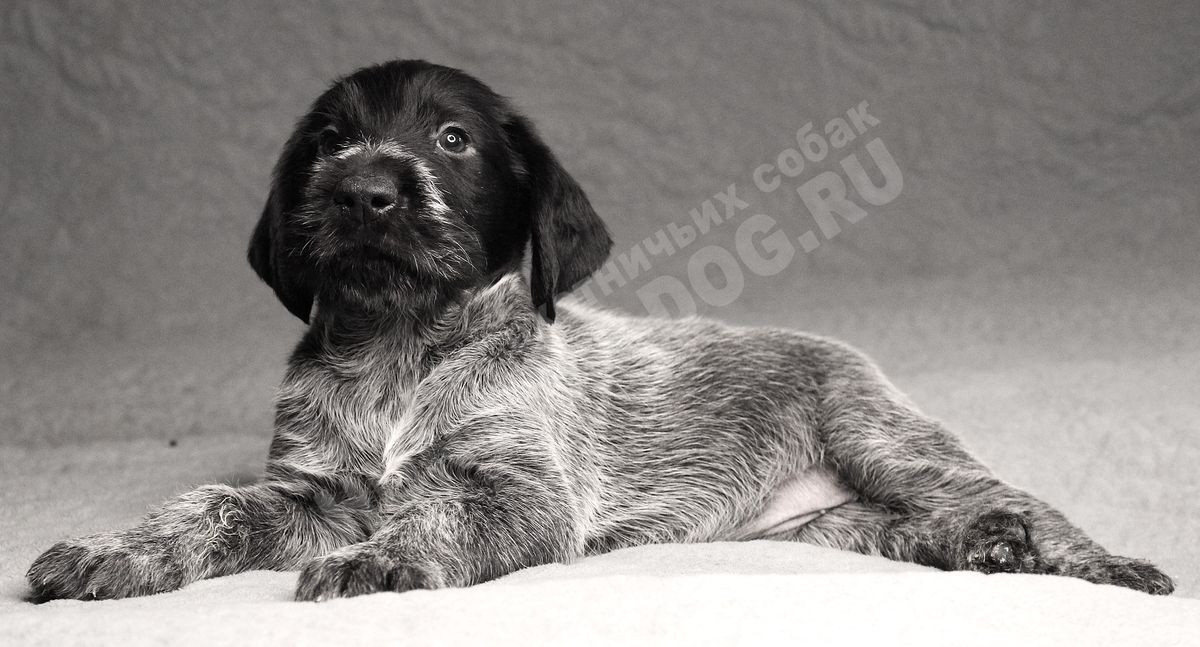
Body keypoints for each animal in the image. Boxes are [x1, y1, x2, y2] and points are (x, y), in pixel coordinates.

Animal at [27, 59, 1174, 602]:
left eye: (453, 140)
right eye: (327, 141)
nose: (362, 191)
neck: (404, 345)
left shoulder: (522, 492)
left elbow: (435, 517)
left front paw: (386, 561)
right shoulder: (313, 492)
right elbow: (208, 506)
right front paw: (112, 550)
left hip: (882, 437)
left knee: (1012, 498)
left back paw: (1095, 562)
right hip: (829, 528)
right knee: (918, 526)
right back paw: (983, 547)